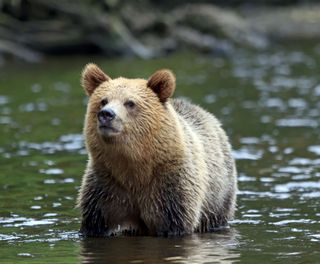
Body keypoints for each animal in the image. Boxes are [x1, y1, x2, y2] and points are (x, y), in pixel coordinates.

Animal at [77, 63, 238, 236]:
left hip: (219, 195)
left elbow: (173, 223)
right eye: (103, 100)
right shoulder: (106, 185)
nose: (107, 114)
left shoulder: (170, 187)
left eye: (130, 103)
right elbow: (97, 220)